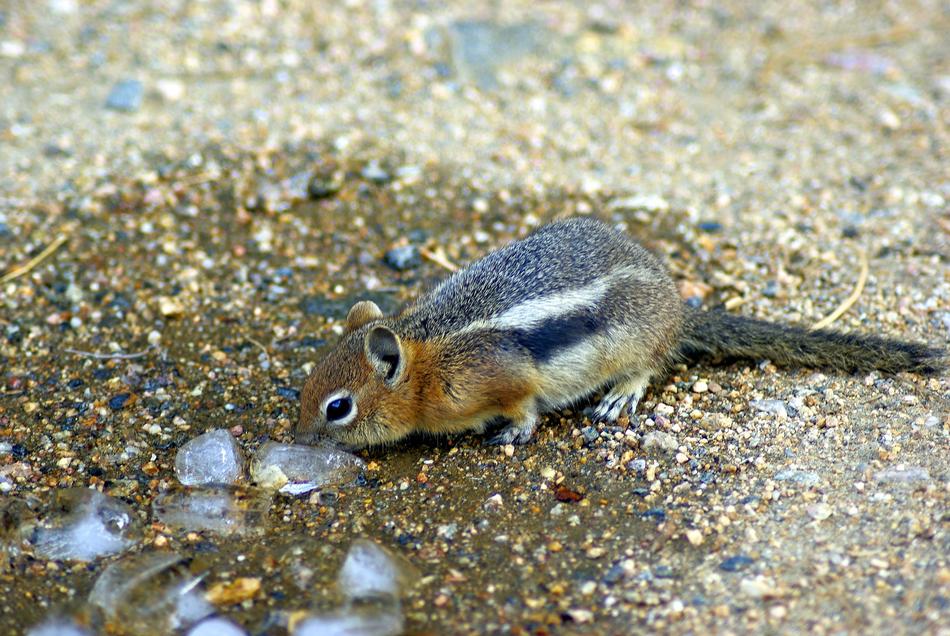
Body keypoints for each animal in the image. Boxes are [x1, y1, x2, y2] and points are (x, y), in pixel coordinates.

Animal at [295, 217, 943, 449]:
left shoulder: (500, 378)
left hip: (632, 344)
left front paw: (514, 432)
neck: (428, 362)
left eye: (337, 408)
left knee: (650, 366)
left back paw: (620, 395)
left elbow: (524, 405)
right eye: (305, 388)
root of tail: (677, 308)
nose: (298, 438)